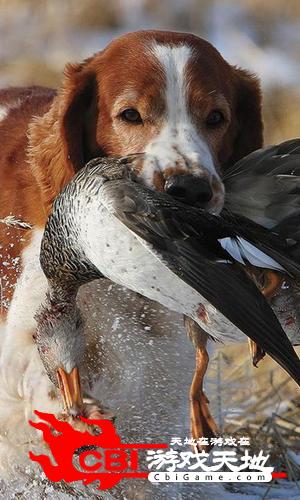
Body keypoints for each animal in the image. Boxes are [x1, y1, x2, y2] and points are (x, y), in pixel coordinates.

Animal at [0, 29, 262, 462]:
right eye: (130, 115)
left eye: (216, 118)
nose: (189, 189)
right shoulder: (27, 323)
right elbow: (46, 366)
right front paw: (76, 413)